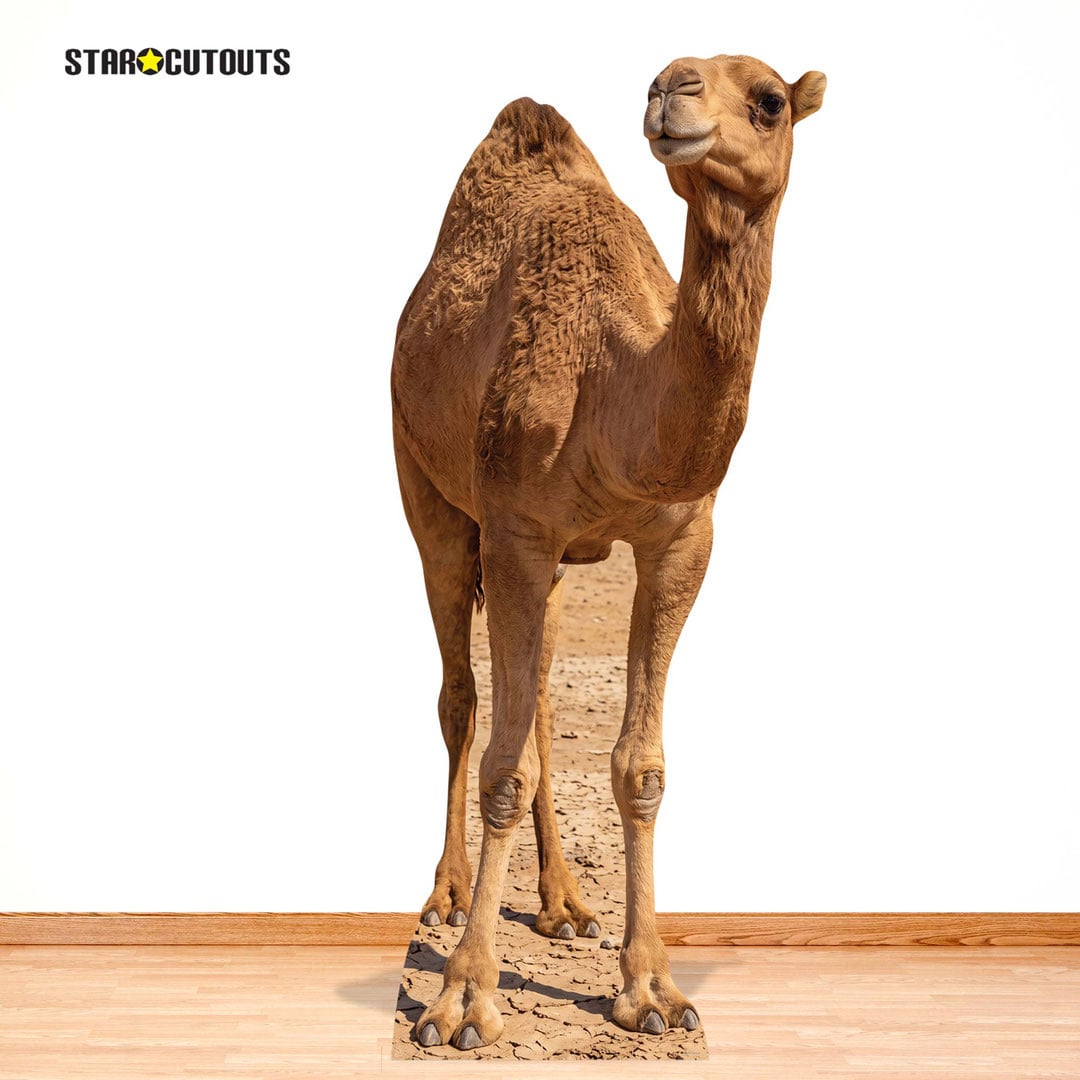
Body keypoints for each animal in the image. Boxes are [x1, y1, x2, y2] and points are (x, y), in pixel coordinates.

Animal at [391, 53, 825, 1050]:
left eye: (770, 102)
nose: (673, 87)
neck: (612, 379)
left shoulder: (681, 540)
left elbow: (640, 765)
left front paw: (652, 988)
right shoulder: (515, 524)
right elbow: (501, 766)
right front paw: (462, 1001)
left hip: (546, 564)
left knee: (538, 703)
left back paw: (563, 903)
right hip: (426, 488)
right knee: (462, 697)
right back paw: (448, 893)